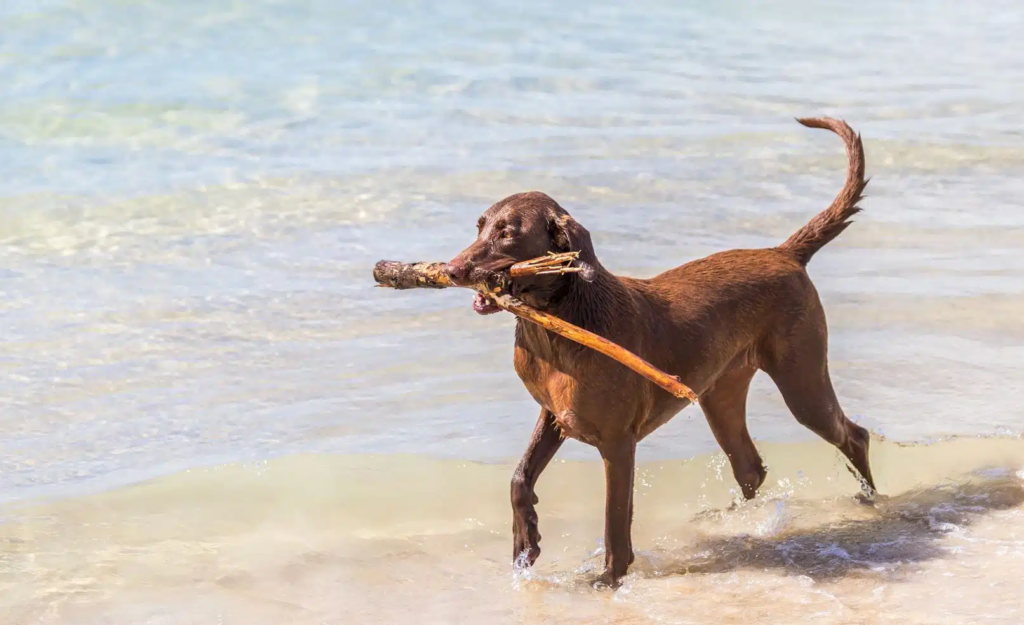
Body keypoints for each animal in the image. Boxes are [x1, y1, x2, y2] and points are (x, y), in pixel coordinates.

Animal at [444, 115, 876, 581]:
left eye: (508, 234)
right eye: (479, 226)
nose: (451, 269)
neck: (558, 324)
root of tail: (784, 254)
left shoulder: (618, 443)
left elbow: (615, 520)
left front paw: (608, 580)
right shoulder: (555, 413)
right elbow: (520, 477)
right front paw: (526, 542)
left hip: (802, 379)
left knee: (854, 436)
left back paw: (870, 501)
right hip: (720, 392)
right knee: (750, 468)